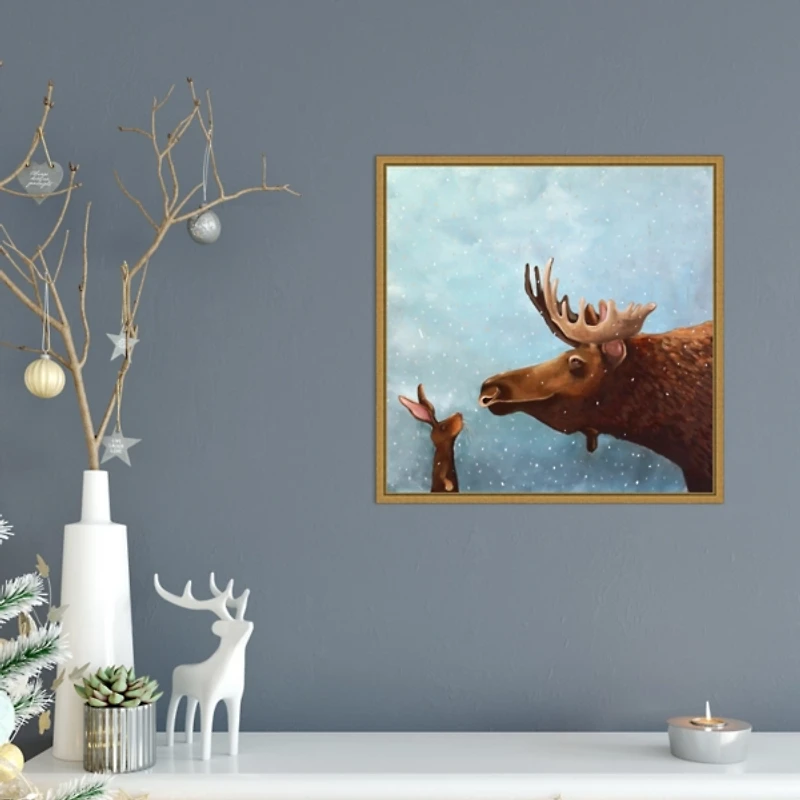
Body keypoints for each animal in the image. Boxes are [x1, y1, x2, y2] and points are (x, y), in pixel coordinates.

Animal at [154, 573, 254, 761]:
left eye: (243, 619)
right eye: (234, 625)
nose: (250, 623)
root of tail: (179, 667)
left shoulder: (235, 698)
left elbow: (234, 729)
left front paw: (232, 754)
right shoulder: (209, 698)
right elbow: (206, 727)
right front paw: (205, 757)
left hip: (193, 696)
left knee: (189, 713)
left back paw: (189, 740)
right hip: (177, 691)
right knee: (171, 714)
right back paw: (170, 743)